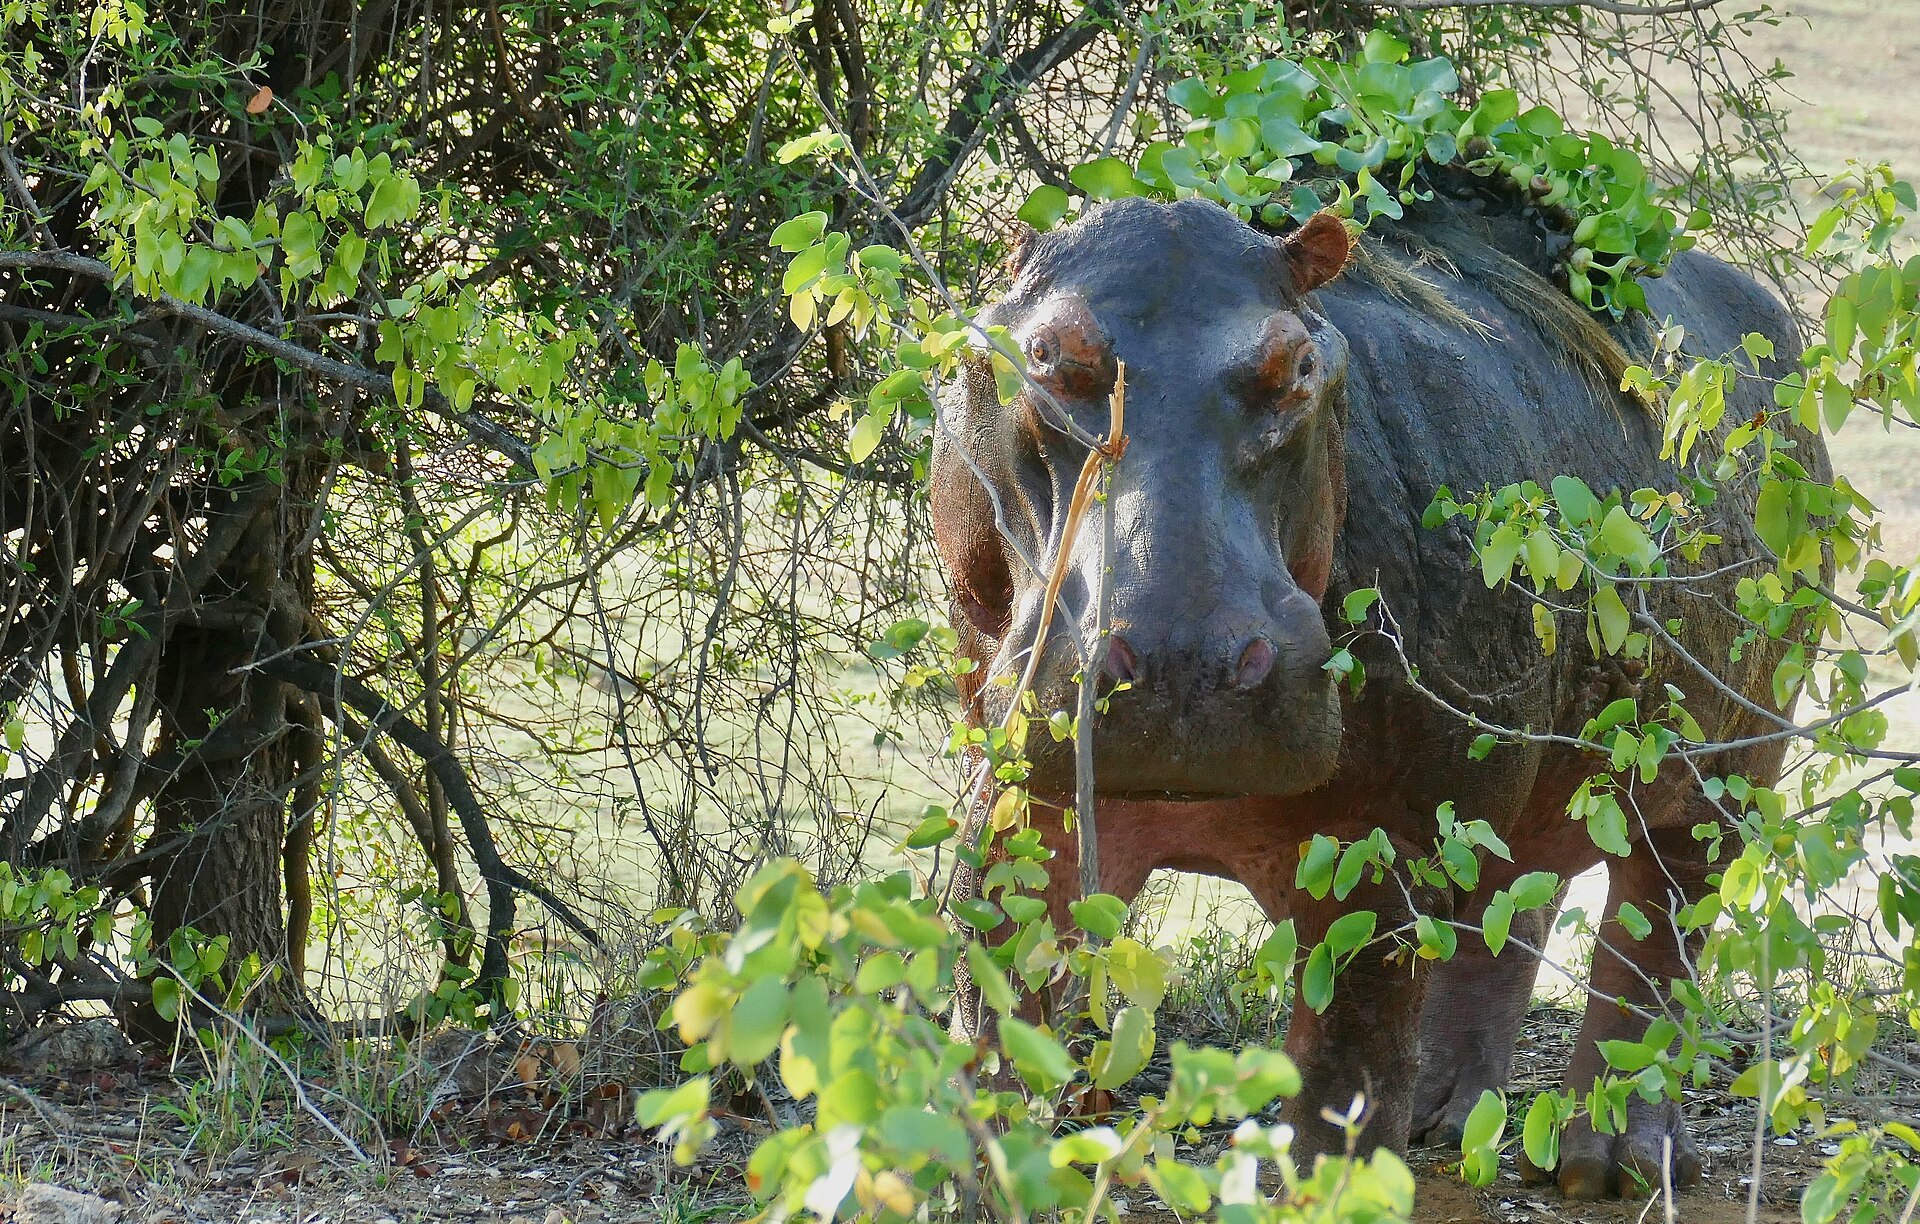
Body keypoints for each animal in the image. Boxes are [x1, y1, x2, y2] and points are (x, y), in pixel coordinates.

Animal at [931, 194, 1818, 1198]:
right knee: (1514, 905)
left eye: (1299, 366)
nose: (1182, 660)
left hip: (1725, 778)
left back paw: (1614, 1167)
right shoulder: (1018, 789)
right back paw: (1451, 1124)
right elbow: (988, 1005)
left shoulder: (1389, 837)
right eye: (1046, 355)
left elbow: (1346, 1071)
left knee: (1660, 935)